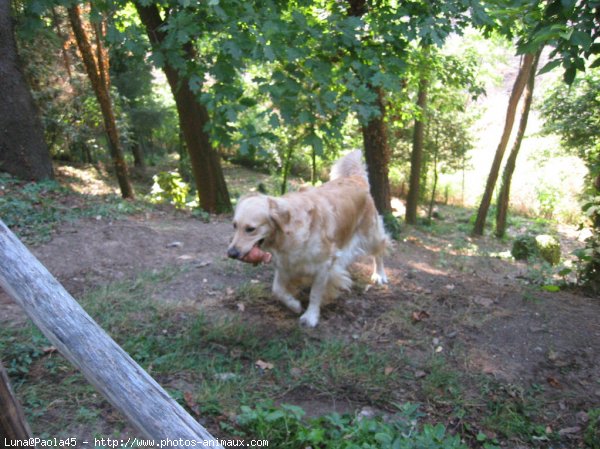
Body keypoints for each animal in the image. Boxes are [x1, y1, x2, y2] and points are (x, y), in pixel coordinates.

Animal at [226, 150, 390, 326]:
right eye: (234, 225)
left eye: (250, 229)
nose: (231, 253)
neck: (288, 232)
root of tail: (354, 179)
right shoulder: (286, 263)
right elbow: (277, 290)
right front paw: (294, 305)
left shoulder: (323, 265)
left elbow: (315, 294)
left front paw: (310, 316)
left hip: (370, 234)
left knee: (380, 250)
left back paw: (379, 275)